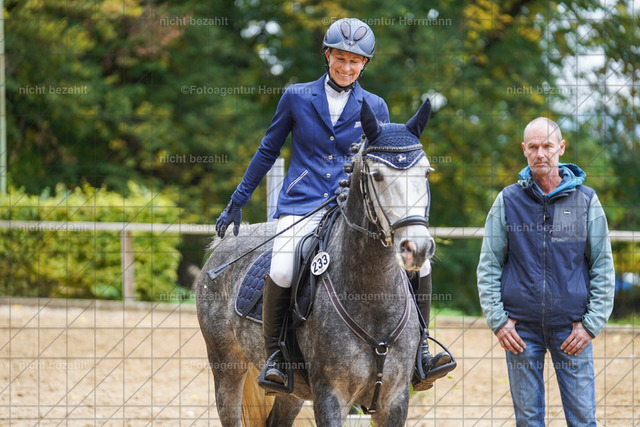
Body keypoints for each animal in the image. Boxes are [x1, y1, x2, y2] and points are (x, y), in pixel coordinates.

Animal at [196, 97, 436, 426]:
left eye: (425, 173)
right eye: (377, 175)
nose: (418, 248)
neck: (372, 294)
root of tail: (225, 244)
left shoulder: (394, 400)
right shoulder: (330, 397)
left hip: (292, 391)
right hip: (226, 367)